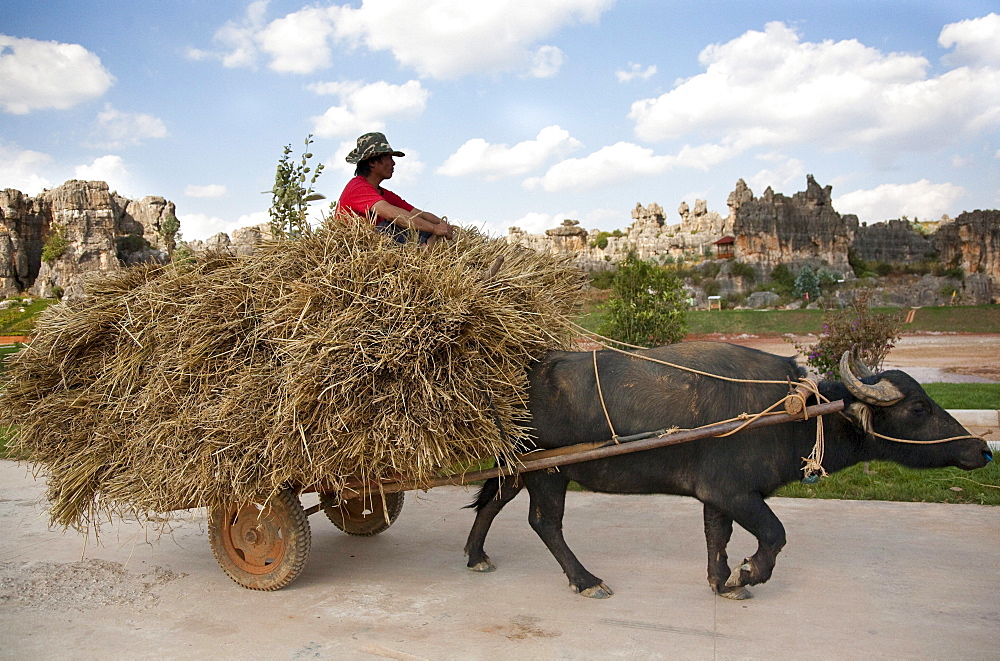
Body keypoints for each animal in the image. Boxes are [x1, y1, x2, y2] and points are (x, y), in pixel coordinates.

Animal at [462, 340, 992, 600]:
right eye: (920, 408)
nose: (982, 449)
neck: (795, 413)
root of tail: (516, 375)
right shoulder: (735, 492)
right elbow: (774, 535)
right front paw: (747, 575)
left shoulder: (717, 496)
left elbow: (717, 535)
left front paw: (722, 581)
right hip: (547, 474)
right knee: (544, 523)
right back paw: (586, 579)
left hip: (523, 467)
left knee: (493, 501)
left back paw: (475, 555)